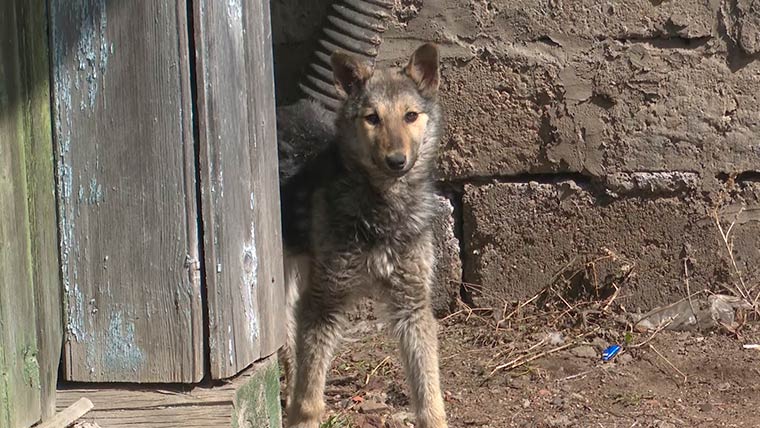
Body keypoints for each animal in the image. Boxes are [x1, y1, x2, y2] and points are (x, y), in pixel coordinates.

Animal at [278, 43, 446, 428]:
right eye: (372, 118)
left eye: (410, 116)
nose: (397, 161)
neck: (383, 207)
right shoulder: (324, 303)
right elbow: (310, 400)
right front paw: (302, 414)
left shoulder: (412, 305)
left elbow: (429, 399)